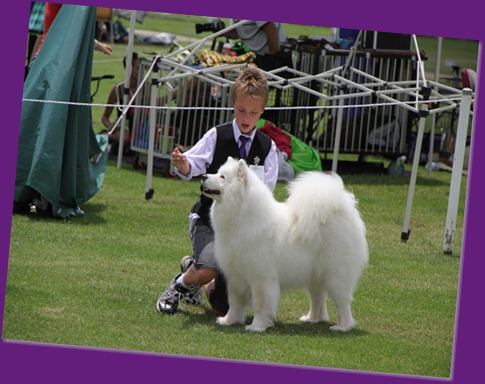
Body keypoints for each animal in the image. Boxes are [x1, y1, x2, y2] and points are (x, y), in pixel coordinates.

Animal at [199, 158, 366, 332]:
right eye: (217, 172)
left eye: (222, 177)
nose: (203, 176)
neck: (243, 218)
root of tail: (342, 209)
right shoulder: (235, 275)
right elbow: (234, 302)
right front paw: (228, 321)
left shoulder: (261, 277)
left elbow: (260, 303)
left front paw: (257, 326)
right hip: (314, 275)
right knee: (317, 299)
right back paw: (312, 319)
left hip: (335, 276)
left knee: (343, 303)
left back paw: (342, 327)